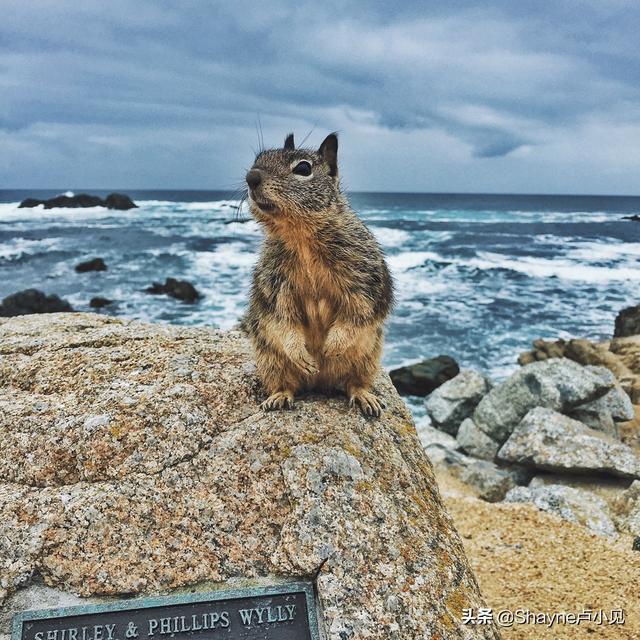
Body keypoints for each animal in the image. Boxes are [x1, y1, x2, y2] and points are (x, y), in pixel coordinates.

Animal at [242, 132, 392, 418]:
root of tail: (320, 384)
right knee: (286, 383)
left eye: (303, 168)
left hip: (367, 358)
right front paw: (301, 354)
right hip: (270, 359)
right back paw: (280, 395)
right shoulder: (274, 285)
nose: (251, 177)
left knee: (353, 383)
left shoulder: (363, 278)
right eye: (257, 159)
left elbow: (356, 313)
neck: (301, 237)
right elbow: (282, 320)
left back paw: (364, 396)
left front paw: (332, 347)